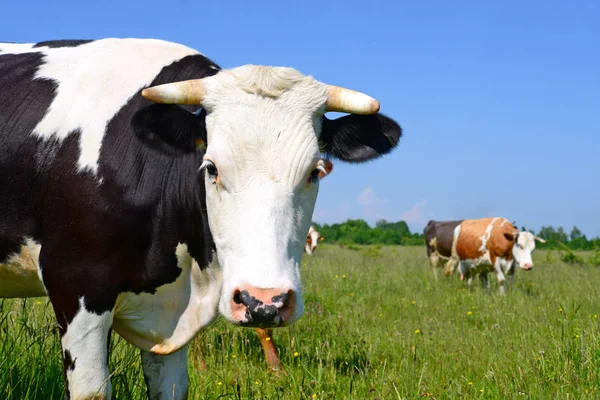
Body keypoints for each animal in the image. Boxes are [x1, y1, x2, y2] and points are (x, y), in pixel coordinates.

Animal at [1, 38, 404, 400]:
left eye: (315, 172)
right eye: (211, 168)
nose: (264, 301)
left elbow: (172, 389)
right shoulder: (75, 282)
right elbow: (93, 392)